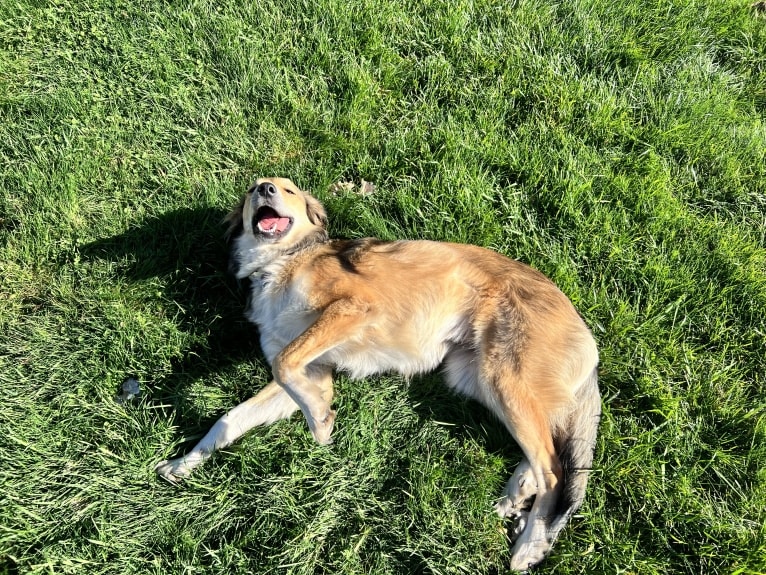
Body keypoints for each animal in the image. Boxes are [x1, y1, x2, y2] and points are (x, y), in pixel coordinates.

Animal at [154, 178, 600, 572]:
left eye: (287, 189)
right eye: (251, 191)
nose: (264, 190)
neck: (282, 260)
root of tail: (584, 332)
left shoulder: (352, 309)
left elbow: (284, 365)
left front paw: (320, 420)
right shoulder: (311, 370)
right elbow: (233, 416)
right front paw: (184, 463)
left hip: (503, 378)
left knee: (554, 470)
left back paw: (531, 543)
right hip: (478, 377)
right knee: (545, 453)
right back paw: (517, 494)